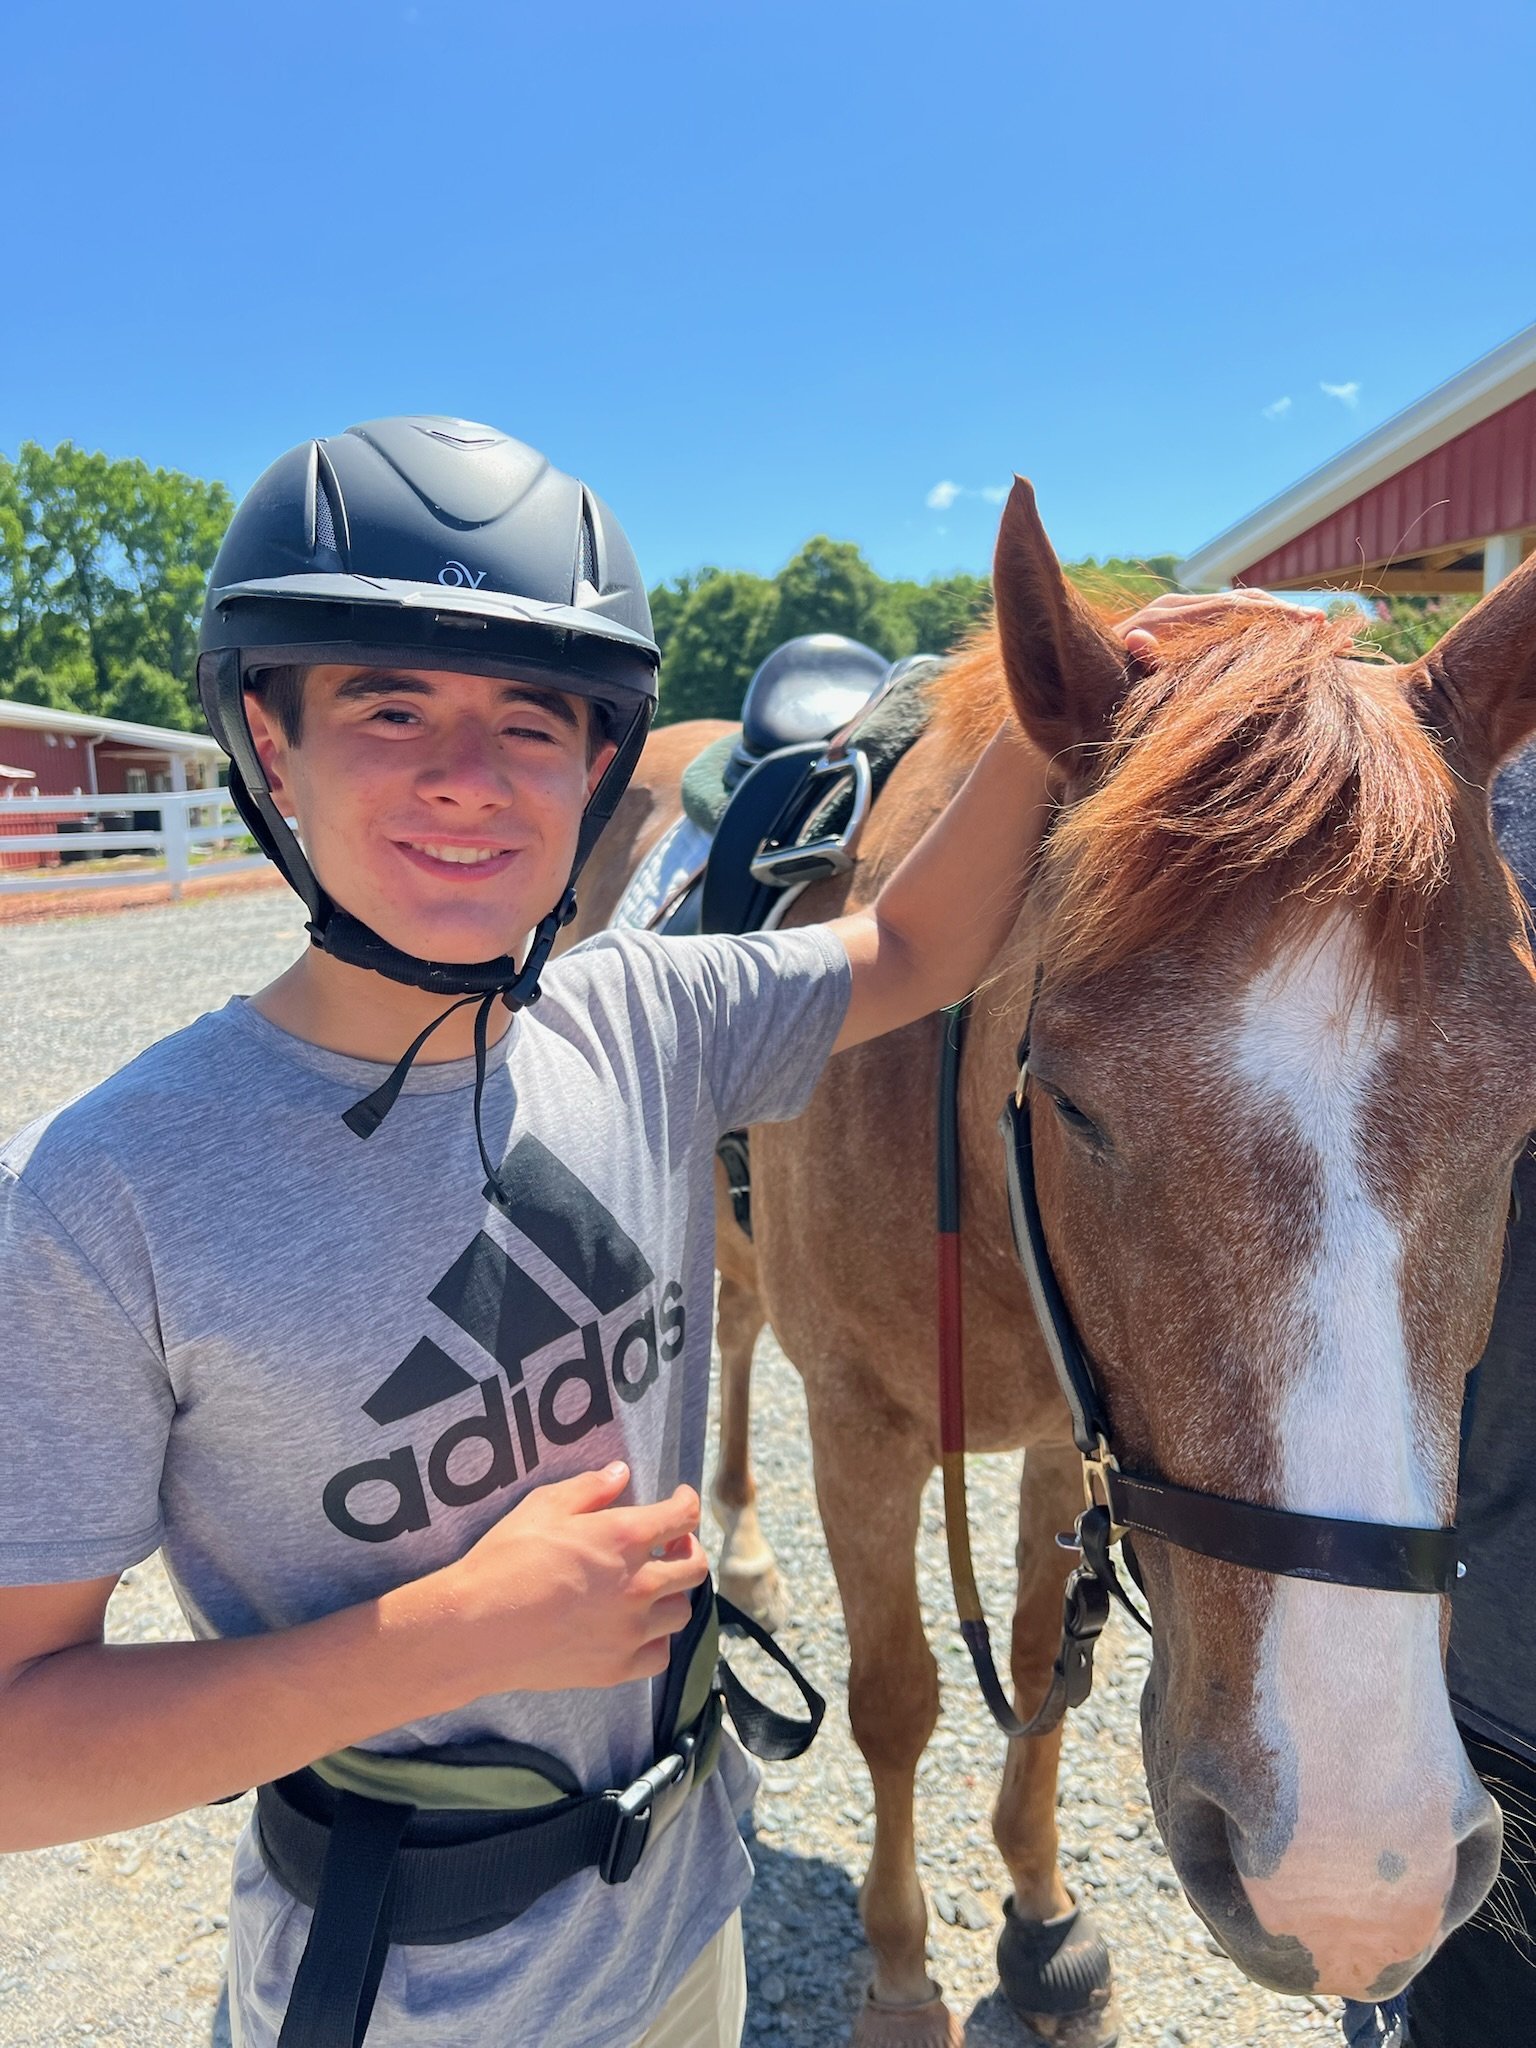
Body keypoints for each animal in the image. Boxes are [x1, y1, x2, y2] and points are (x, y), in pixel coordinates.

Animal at [570, 482, 1536, 2046]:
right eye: (1073, 1098)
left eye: (1522, 1113)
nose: (1352, 1874)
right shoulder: (862, 1426)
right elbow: (898, 1696)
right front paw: (903, 1976)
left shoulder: (1056, 1435)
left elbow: (1036, 1671)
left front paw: (1043, 1923)